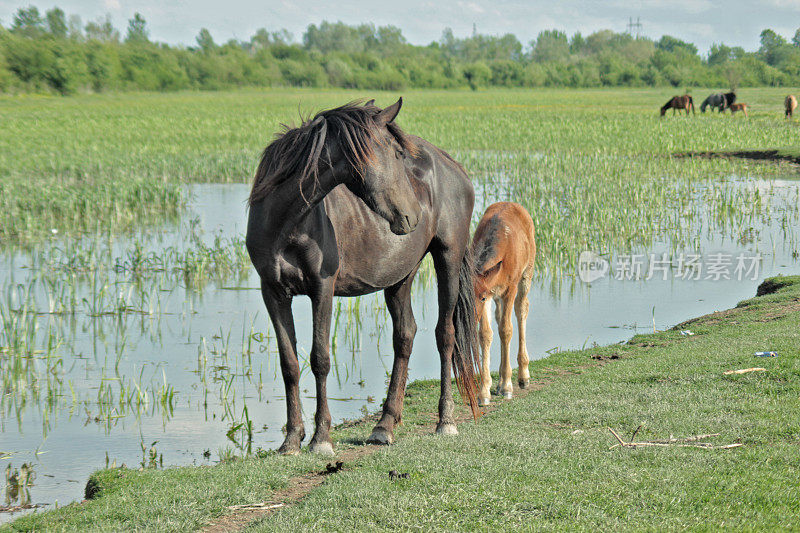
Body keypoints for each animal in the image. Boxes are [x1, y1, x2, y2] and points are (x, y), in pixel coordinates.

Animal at [247, 98, 478, 454]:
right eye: (396, 154)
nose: (413, 215)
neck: (285, 221)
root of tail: (452, 166)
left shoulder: (322, 289)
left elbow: (320, 358)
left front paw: (321, 439)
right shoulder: (272, 291)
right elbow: (289, 364)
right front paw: (291, 440)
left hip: (448, 259)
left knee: (446, 335)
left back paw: (445, 421)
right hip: (401, 275)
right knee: (405, 335)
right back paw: (384, 426)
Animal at [468, 203, 536, 404]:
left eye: (481, 297)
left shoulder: (508, 289)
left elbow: (506, 330)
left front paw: (507, 386)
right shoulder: (491, 292)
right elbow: (485, 334)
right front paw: (484, 392)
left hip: (527, 272)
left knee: (522, 309)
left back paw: (523, 376)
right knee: (499, 319)